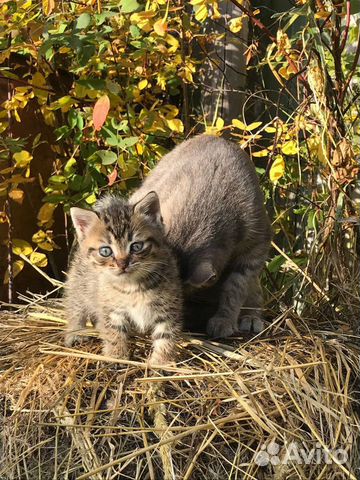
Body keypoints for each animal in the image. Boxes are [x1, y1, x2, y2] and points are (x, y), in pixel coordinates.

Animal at [62, 191, 183, 364]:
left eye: (136, 246)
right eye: (105, 251)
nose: (122, 264)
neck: (133, 286)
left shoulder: (167, 307)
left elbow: (166, 335)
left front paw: (161, 362)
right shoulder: (111, 309)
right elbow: (113, 332)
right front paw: (117, 356)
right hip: (79, 285)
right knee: (75, 307)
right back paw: (75, 332)